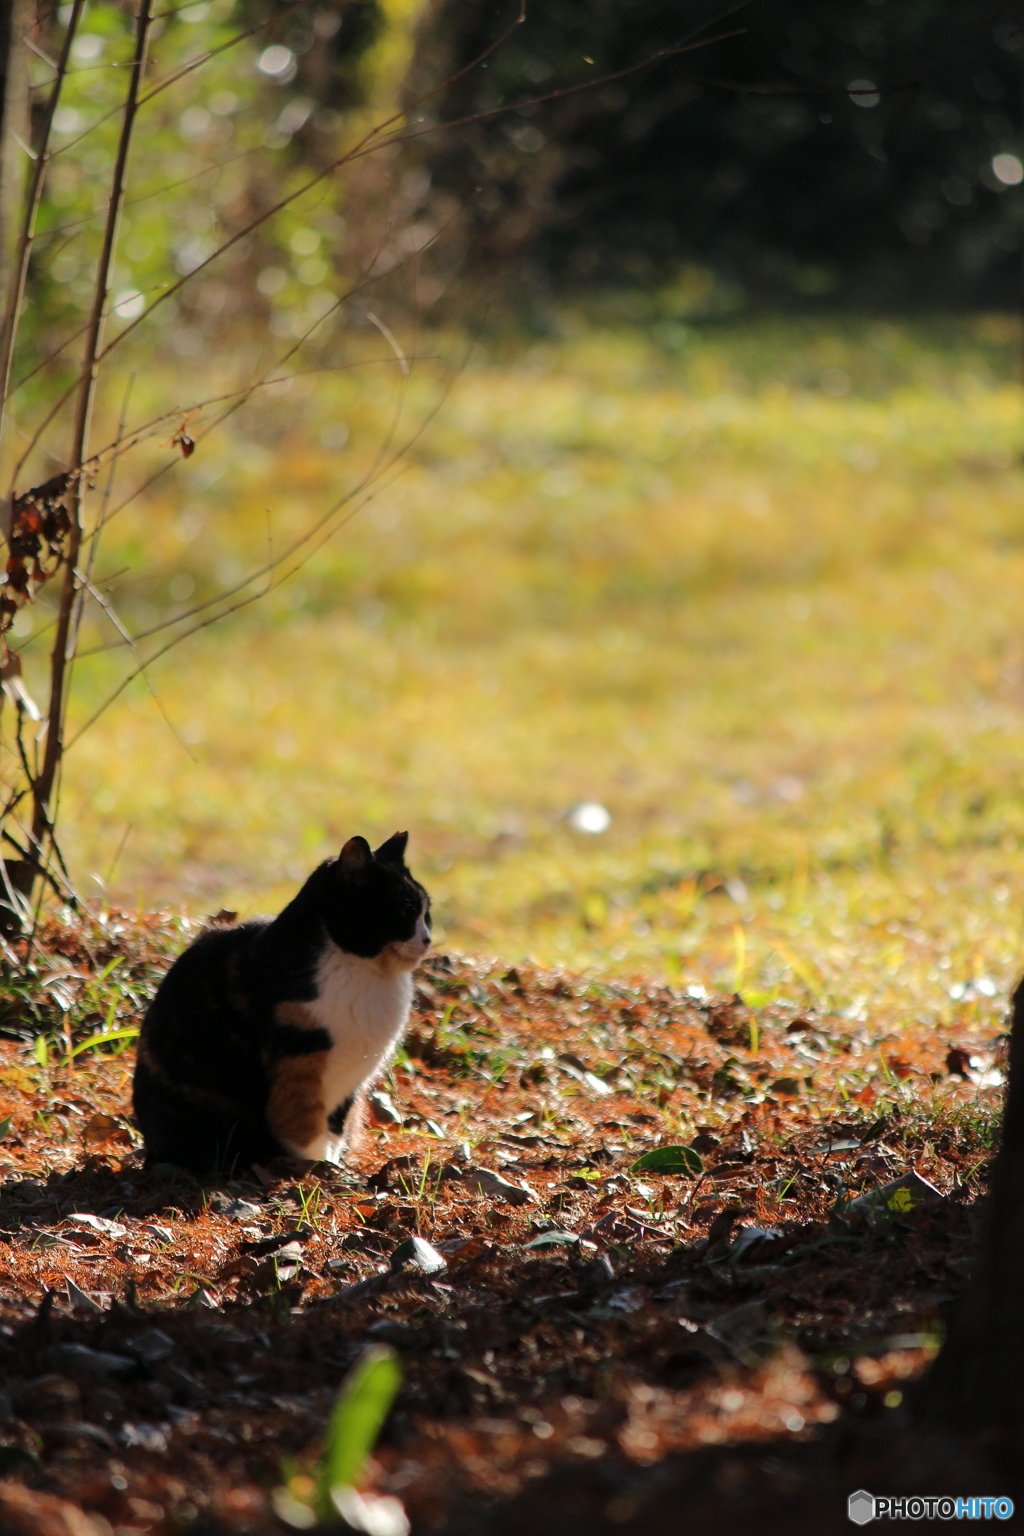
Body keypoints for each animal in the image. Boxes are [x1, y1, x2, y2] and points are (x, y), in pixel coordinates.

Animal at [131, 829, 429, 1173]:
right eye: (404, 910)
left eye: (427, 913)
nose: (427, 939)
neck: (368, 974)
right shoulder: (299, 1063)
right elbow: (304, 1128)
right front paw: (317, 1167)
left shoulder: (351, 1086)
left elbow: (336, 1127)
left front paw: (332, 1161)